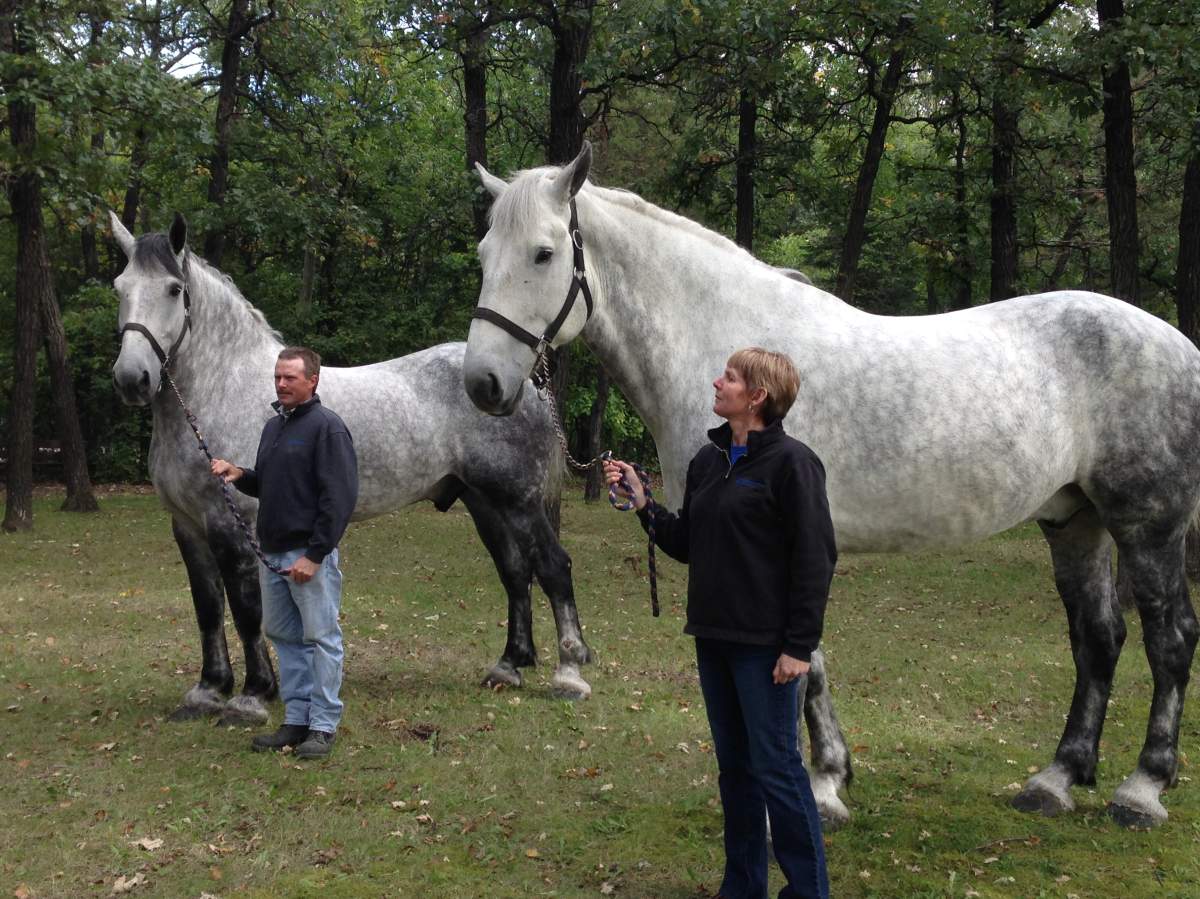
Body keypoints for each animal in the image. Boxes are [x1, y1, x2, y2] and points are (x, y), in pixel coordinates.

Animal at [109, 211, 595, 727]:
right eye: (120, 287)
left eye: (173, 290)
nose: (132, 379)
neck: (224, 389)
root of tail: (522, 385)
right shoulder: (187, 527)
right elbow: (207, 607)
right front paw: (207, 690)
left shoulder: (230, 525)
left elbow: (245, 610)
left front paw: (252, 695)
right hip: (485, 502)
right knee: (515, 571)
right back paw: (509, 665)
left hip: (519, 500)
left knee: (553, 567)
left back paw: (569, 673)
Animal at [460, 144, 1200, 830]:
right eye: (484, 252)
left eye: (544, 254)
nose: (483, 384)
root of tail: (1179, 344)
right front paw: (827, 776)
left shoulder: (793, 539)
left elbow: (801, 661)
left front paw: (819, 788)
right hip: (1076, 520)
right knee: (1098, 637)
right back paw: (1057, 778)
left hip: (1148, 525)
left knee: (1170, 639)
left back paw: (1142, 788)